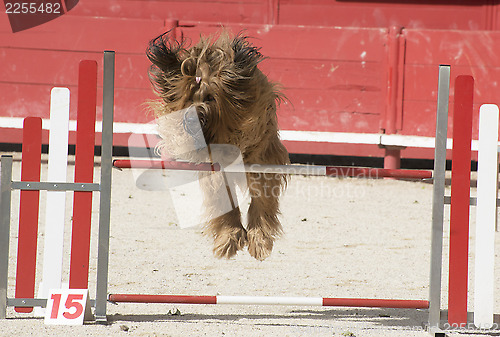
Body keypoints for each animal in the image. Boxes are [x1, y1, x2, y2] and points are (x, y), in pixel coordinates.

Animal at [146, 30, 290, 260]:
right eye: (188, 99)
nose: (190, 118)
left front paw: (259, 240)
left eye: (210, 97)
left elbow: (261, 198)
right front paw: (229, 238)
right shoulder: (214, 168)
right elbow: (223, 198)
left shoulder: (262, 158)